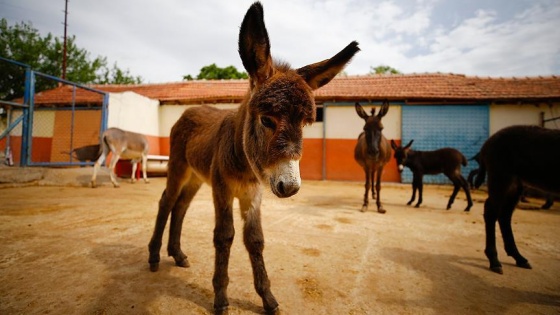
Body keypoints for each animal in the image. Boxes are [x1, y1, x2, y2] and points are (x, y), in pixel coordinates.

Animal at [148, 1, 358, 314]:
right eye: (267, 120)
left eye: (306, 124)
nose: (290, 187)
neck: (244, 164)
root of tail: (190, 110)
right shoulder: (223, 189)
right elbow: (224, 235)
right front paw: (220, 298)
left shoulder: (252, 193)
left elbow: (255, 239)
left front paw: (267, 298)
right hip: (178, 166)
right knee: (167, 201)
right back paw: (153, 257)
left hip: (197, 176)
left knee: (182, 206)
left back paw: (178, 254)